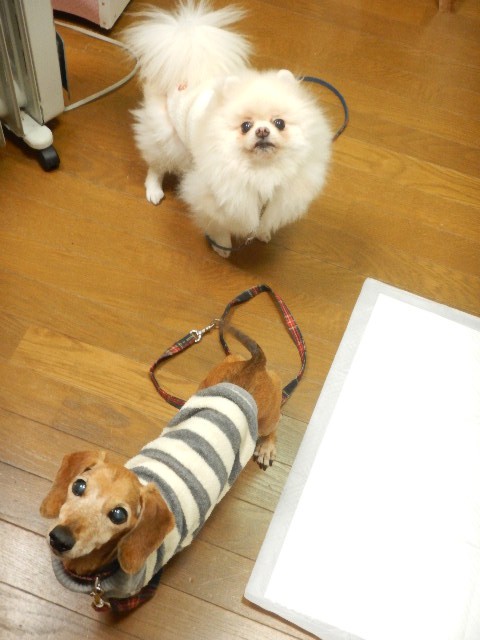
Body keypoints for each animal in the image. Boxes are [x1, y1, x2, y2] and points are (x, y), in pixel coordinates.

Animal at [40, 326, 282, 610]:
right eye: (78, 486)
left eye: (119, 515)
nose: (59, 538)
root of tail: (254, 366)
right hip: (208, 382)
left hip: (267, 418)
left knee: (275, 421)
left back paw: (266, 448)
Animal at [123, 1, 332, 257]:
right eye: (245, 126)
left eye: (279, 123)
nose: (262, 131)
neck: (262, 173)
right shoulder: (214, 201)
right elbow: (219, 226)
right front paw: (222, 246)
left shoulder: (273, 200)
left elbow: (263, 219)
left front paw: (262, 233)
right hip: (166, 136)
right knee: (156, 165)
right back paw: (154, 190)